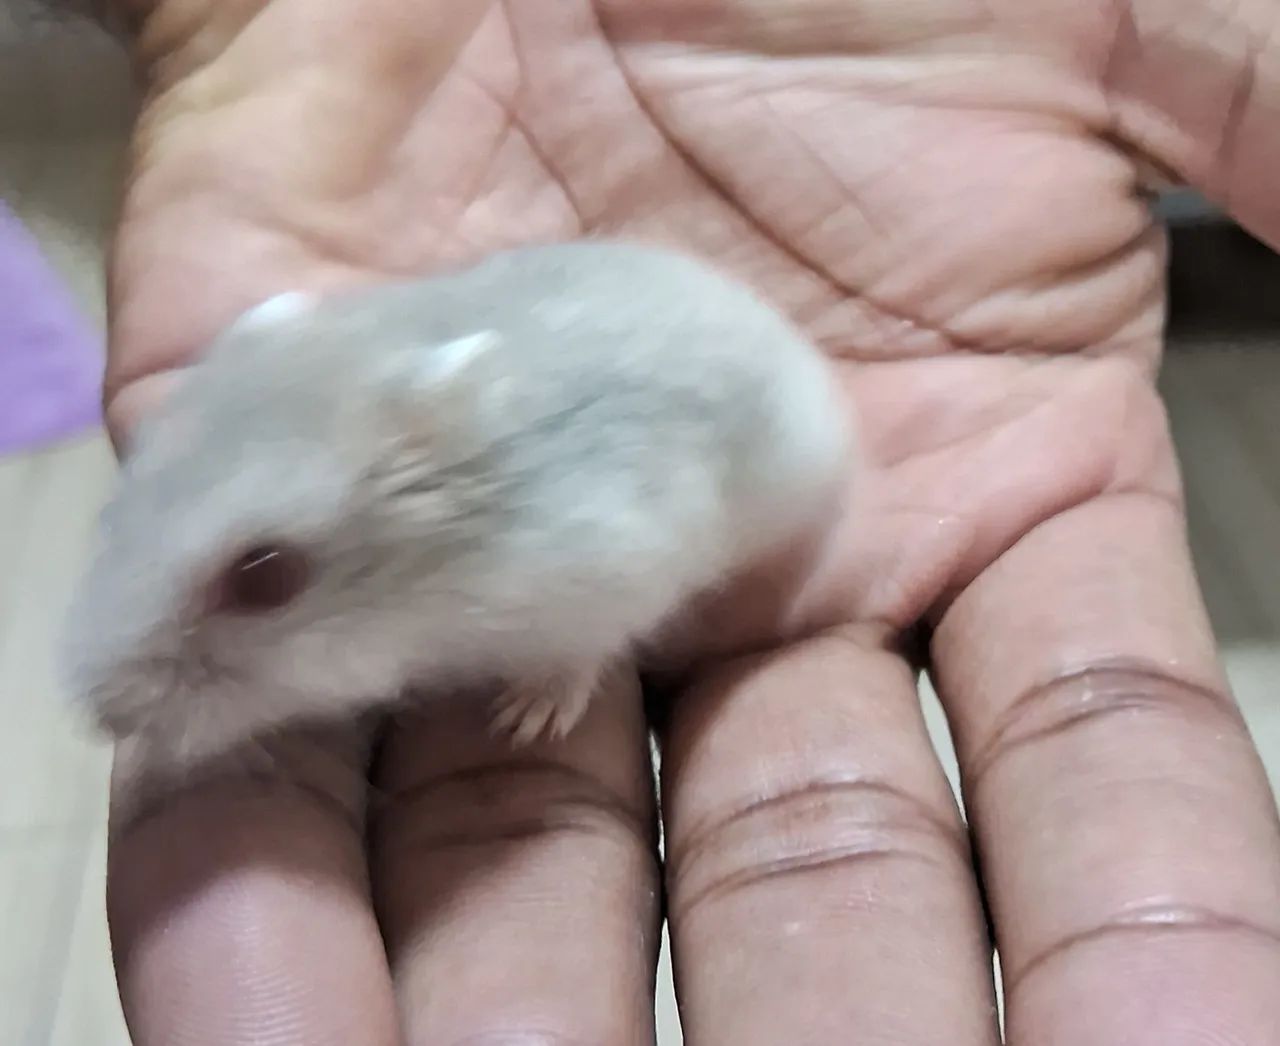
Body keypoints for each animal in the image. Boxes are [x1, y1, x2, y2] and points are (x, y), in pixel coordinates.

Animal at [61, 241, 853, 765]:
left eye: (266, 576)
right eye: (116, 505)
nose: (102, 718)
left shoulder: (608, 580)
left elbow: (576, 658)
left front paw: (524, 721)